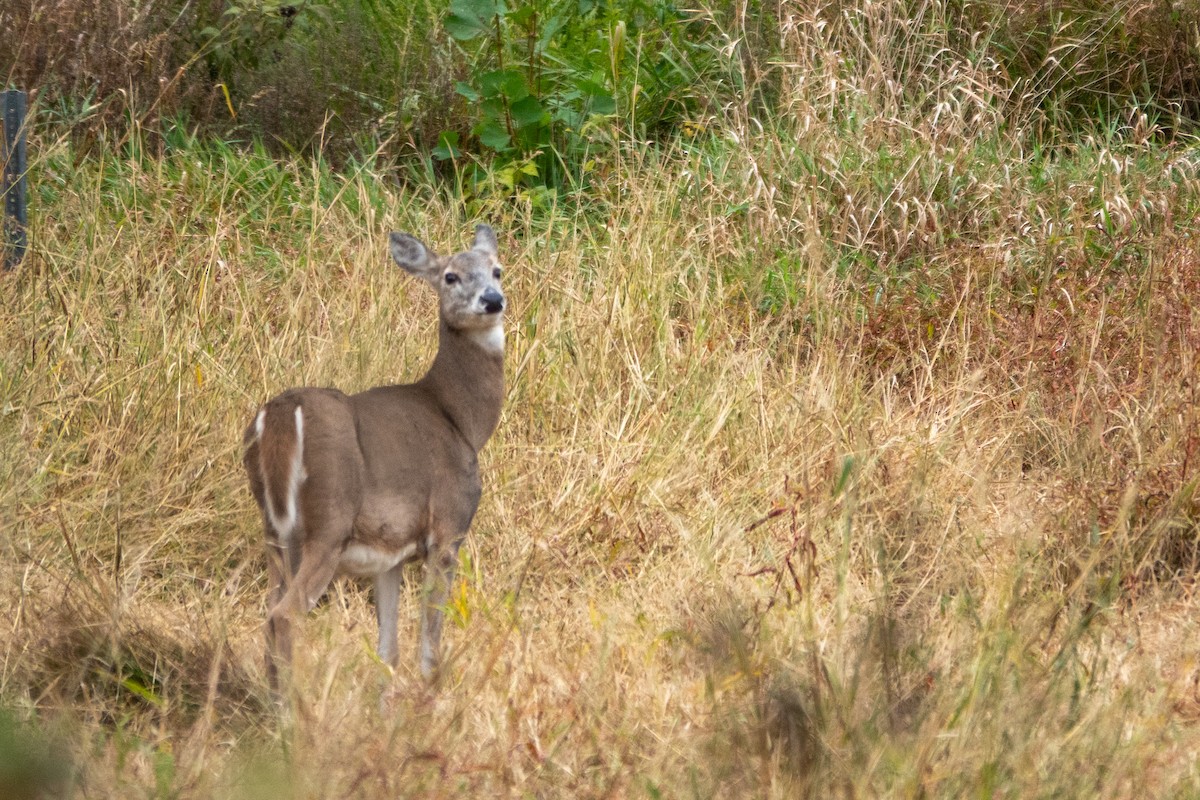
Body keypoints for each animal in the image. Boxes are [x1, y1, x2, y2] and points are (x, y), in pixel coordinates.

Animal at [242, 224, 505, 690]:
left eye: (497, 269)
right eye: (450, 276)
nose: (492, 300)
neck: (461, 422)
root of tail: (279, 414)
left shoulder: (391, 553)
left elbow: (388, 651)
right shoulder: (448, 527)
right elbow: (428, 648)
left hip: (275, 530)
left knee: (268, 612)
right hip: (329, 518)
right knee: (284, 615)